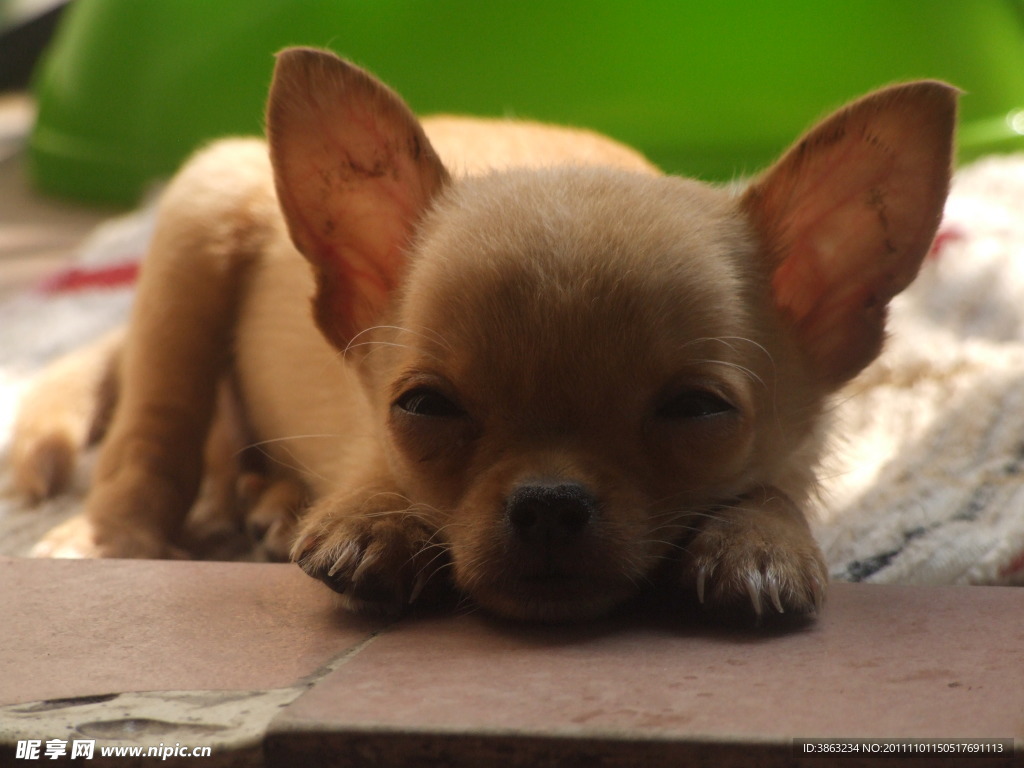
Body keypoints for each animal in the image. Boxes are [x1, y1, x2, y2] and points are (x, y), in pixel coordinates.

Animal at [19, 48, 954, 626]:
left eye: (696, 412)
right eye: (424, 408)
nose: (549, 501)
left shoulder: (794, 458)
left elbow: (772, 490)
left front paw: (761, 540)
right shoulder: (369, 429)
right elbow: (371, 473)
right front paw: (372, 518)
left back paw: (271, 501)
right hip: (193, 235)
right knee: (155, 437)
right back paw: (112, 538)